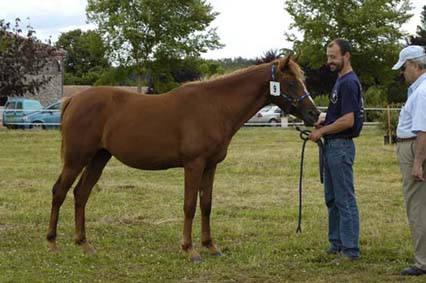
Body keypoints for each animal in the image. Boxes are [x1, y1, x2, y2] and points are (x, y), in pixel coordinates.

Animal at [46, 56, 320, 262]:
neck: (214, 107)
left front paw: (211, 246)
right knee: (59, 191)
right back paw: (52, 243)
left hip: (98, 158)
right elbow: (189, 206)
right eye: (291, 83)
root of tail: (74, 99)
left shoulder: (210, 166)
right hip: (76, 159)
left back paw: (84, 244)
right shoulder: (194, 165)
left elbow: (206, 204)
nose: (314, 113)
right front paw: (190, 250)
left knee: (81, 193)